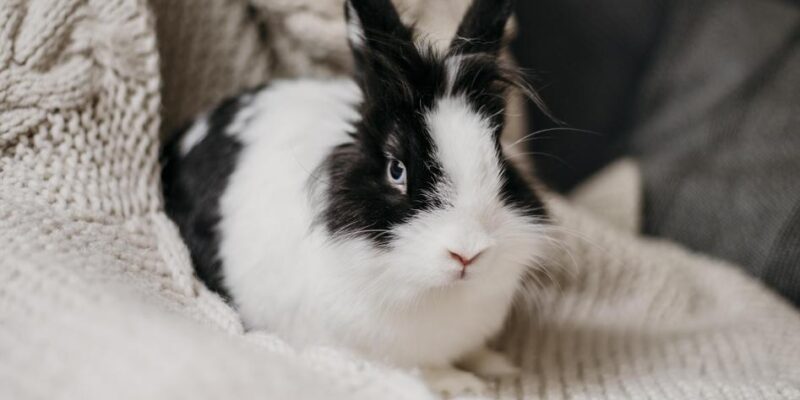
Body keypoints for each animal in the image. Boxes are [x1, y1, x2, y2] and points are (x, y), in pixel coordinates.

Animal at [161, 0, 552, 395]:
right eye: (396, 170)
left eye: (500, 160)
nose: (467, 254)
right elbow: (423, 369)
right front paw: (464, 383)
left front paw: (498, 365)